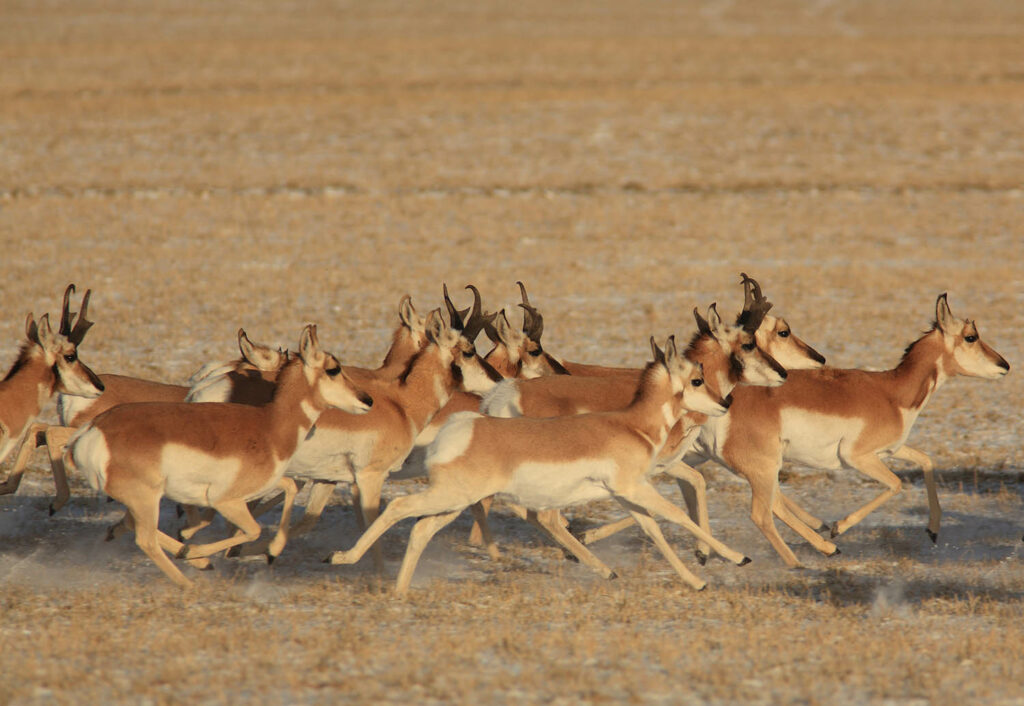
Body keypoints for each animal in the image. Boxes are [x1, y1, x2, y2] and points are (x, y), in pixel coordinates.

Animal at [66, 325, 374, 590]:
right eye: (333, 369)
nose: (367, 400)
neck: (269, 424)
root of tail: (93, 431)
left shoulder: (263, 486)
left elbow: (286, 492)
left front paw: (271, 551)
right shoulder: (226, 501)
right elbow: (254, 529)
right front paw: (194, 550)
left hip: (139, 501)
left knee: (134, 527)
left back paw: (195, 562)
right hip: (145, 499)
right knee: (146, 539)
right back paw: (188, 580)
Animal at [327, 336, 753, 594]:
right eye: (696, 379)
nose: (725, 403)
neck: (631, 424)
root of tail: (467, 426)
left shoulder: (625, 494)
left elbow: (653, 529)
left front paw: (696, 580)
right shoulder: (635, 487)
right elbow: (675, 517)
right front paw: (737, 557)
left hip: (452, 502)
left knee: (420, 528)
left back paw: (399, 588)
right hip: (448, 496)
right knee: (400, 508)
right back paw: (342, 558)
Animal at [684, 293, 1011, 565]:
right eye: (971, 336)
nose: (1005, 365)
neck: (892, 392)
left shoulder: (891, 450)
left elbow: (926, 461)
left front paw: (932, 530)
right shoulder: (859, 458)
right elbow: (896, 484)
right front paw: (838, 528)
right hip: (765, 466)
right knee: (761, 512)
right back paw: (805, 559)